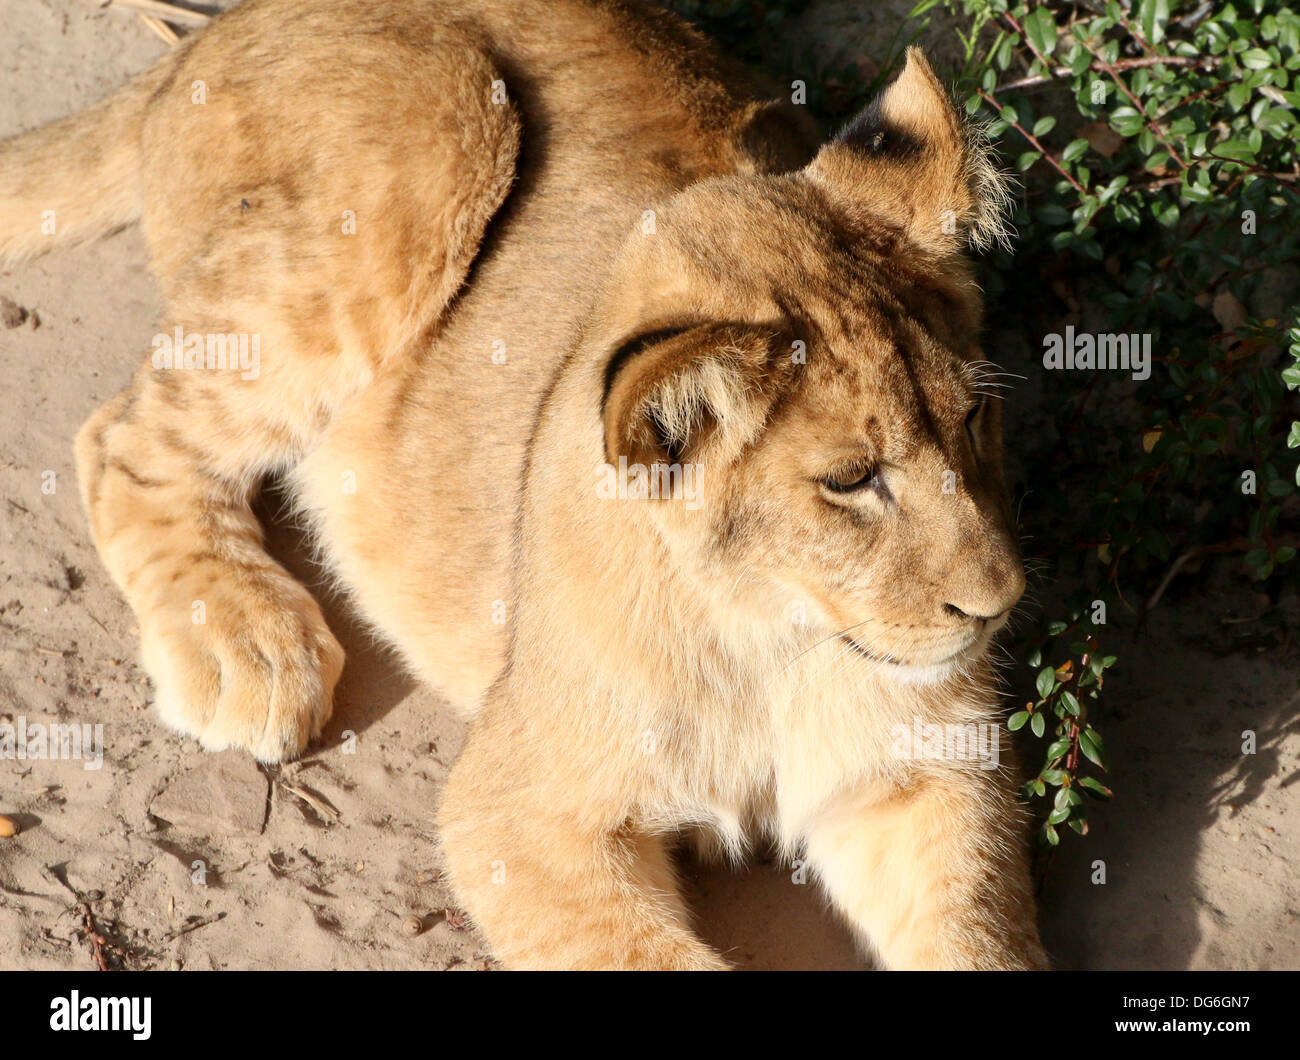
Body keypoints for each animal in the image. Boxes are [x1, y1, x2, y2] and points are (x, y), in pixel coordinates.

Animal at [0, 0, 1047, 969]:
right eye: (852, 480)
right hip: (444, 122)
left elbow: (976, 940)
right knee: (118, 435)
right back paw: (244, 647)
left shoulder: (930, 780)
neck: (774, 641)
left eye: (975, 420)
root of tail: (206, 34)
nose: (1001, 605)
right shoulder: (515, 811)